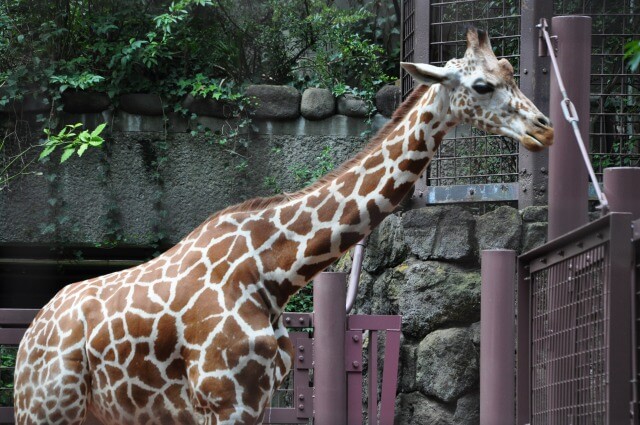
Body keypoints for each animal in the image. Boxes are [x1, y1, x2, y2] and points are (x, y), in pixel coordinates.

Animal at [12, 27, 552, 424]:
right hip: (45, 409)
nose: (544, 129)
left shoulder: (260, 397)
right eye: (482, 86)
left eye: (512, 72)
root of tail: (28, 337)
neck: (273, 272)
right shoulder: (225, 400)